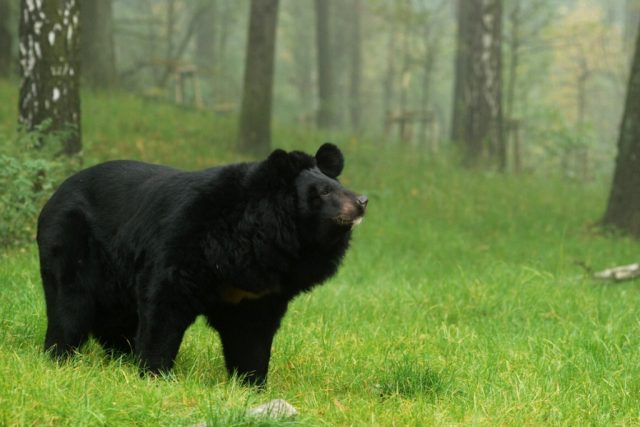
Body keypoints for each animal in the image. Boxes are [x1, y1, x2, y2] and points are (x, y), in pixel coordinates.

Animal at [36, 145, 364, 388]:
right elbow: (164, 305)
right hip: (71, 242)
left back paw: (120, 357)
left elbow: (251, 333)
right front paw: (154, 374)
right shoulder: (185, 243)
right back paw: (60, 357)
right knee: (70, 305)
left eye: (340, 185)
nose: (362, 201)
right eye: (323, 192)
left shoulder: (255, 289)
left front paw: (251, 384)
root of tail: (54, 196)